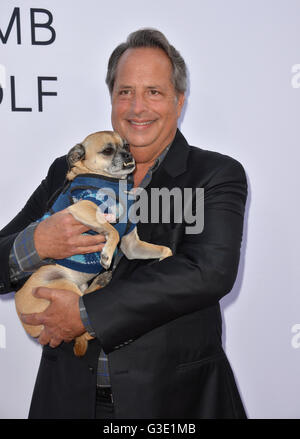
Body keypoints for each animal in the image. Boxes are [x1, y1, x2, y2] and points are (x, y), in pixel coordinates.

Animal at [14, 131, 173, 358]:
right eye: (107, 151)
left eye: (127, 146)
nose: (128, 155)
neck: (115, 184)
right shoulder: (82, 208)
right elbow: (112, 230)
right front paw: (106, 254)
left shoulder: (132, 245)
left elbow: (163, 249)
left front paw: (164, 258)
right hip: (61, 284)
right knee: (82, 311)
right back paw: (101, 280)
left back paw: (101, 281)